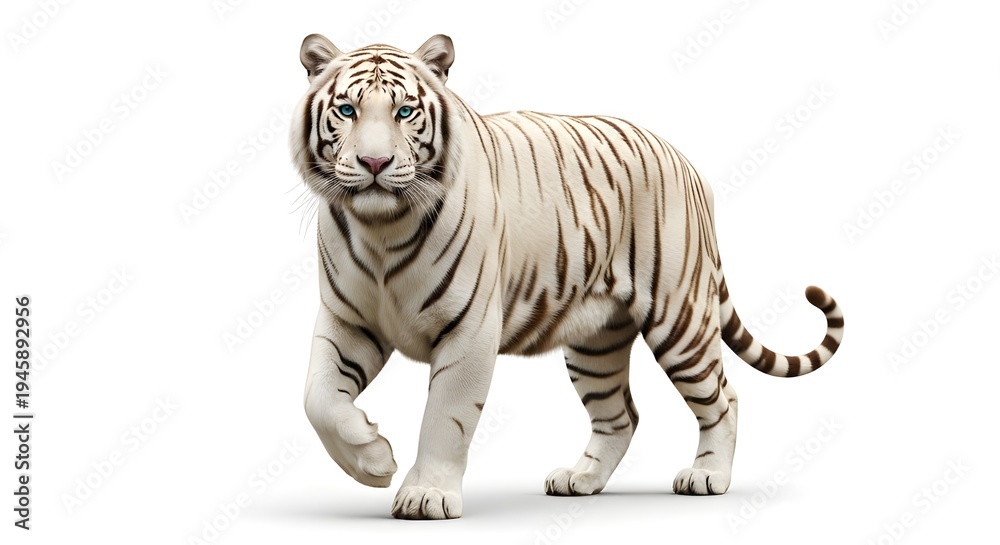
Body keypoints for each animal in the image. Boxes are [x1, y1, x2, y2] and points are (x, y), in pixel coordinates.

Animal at [289, 33, 844, 520]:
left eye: (405, 112)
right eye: (347, 110)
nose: (374, 162)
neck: (381, 228)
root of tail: (684, 162)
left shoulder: (469, 330)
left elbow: (446, 416)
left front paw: (426, 494)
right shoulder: (347, 321)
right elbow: (317, 399)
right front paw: (373, 459)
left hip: (680, 320)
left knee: (723, 398)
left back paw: (708, 477)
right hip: (596, 342)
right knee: (621, 416)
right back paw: (581, 479)